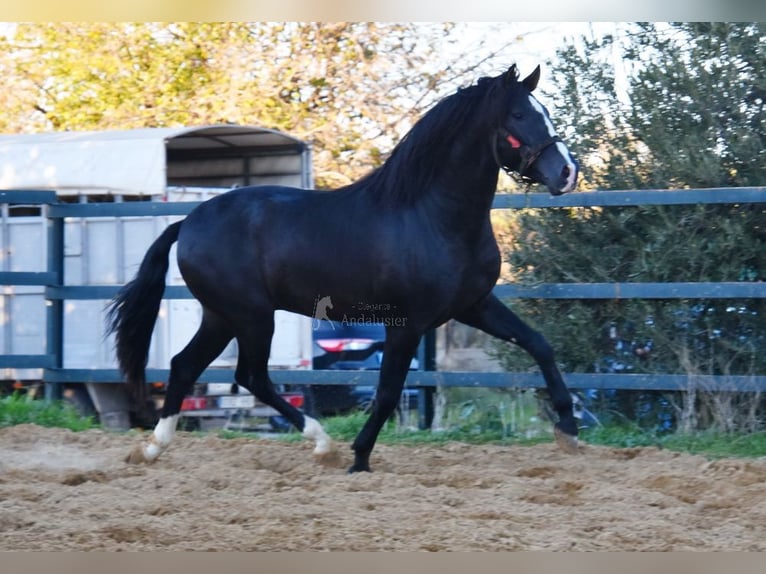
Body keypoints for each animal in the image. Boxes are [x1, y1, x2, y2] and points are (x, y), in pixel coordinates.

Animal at [109, 65, 584, 474]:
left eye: (544, 111)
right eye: (519, 114)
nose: (567, 172)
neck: (431, 215)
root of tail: (188, 222)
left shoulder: (475, 305)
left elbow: (540, 345)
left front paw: (569, 431)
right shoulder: (406, 324)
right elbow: (388, 391)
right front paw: (359, 457)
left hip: (222, 316)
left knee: (185, 365)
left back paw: (152, 449)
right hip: (251, 315)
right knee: (250, 375)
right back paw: (323, 445)